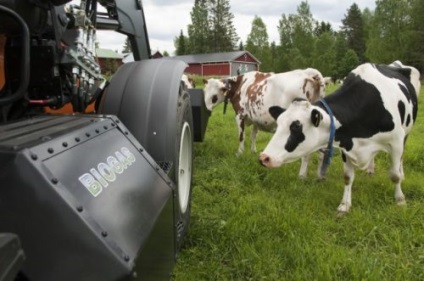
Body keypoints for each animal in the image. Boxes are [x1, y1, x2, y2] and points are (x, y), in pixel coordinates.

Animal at [260, 61, 420, 212]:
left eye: (296, 127)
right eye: (279, 123)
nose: (264, 158)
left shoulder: (396, 142)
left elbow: (394, 175)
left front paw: (400, 200)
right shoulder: (346, 144)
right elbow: (348, 177)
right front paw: (344, 205)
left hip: (406, 133)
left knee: (401, 160)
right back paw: (370, 169)